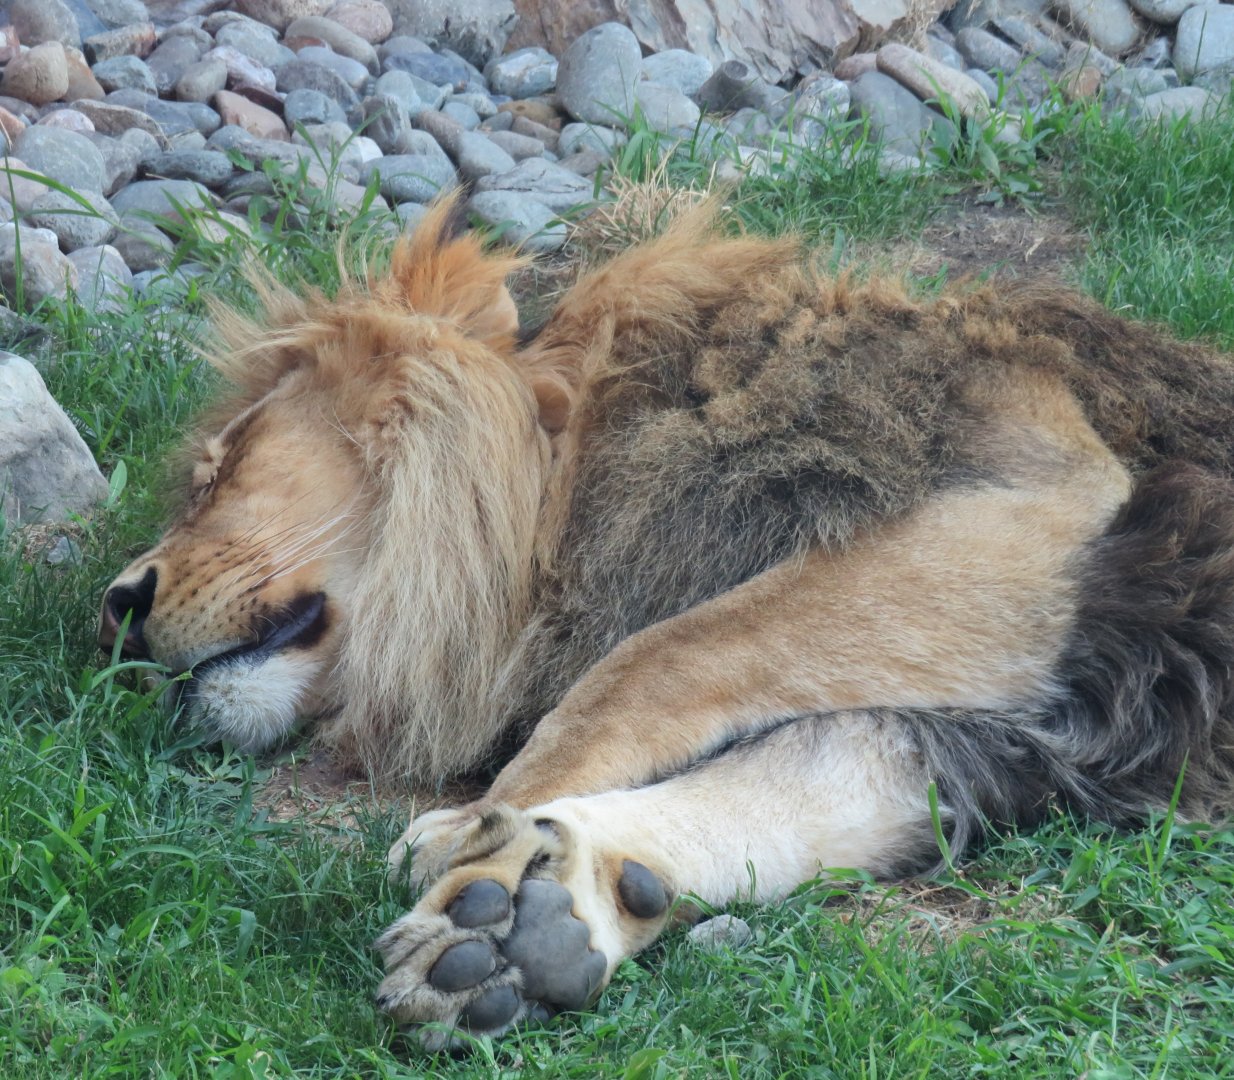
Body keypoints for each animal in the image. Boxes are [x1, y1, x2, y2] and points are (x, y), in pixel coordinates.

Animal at [99, 194, 1234, 1047]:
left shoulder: (1041, 497)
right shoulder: (1025, 731)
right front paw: (530, 917)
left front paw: (481, 821)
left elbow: (660, 656)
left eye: (219, 469)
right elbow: (796, 785)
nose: (115, 609)